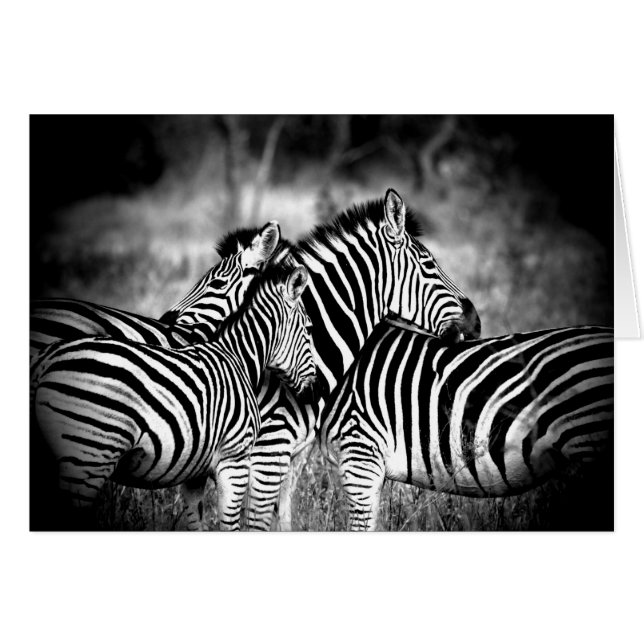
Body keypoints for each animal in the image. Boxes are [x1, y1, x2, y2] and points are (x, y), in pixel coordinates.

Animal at [31, 262, 316, 531]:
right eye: (308, 329)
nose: (314, 391)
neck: (238, 358)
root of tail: (47, 358)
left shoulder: (195, 469)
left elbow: (197, 522)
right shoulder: (234, 459)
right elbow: (231, 525)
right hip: (89, 454)